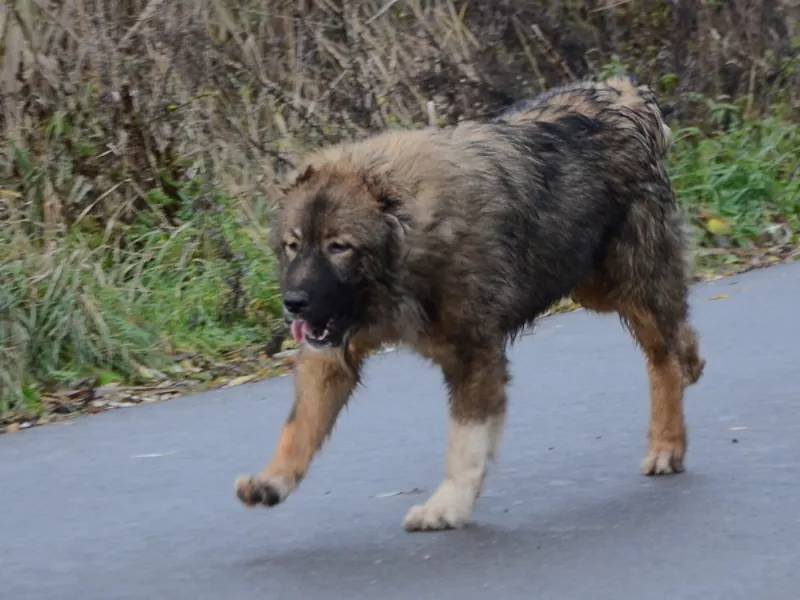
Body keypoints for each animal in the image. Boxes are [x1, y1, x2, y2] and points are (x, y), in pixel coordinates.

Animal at [234, 75, 704, 528]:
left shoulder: (472, 354)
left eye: (338, 247)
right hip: (587, 281)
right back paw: (692, 364)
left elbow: (465, 444)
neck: (408, 244)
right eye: (294, 245)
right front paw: (272, 480)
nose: (293, 302)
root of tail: (624, 98)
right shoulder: (331, 351)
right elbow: (300, 425)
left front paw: (447, 507)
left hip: (627, 282)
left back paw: (668, 440)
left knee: (663, 355)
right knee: (677, 331)